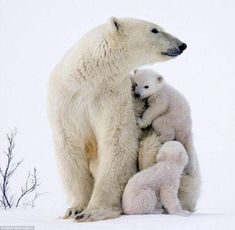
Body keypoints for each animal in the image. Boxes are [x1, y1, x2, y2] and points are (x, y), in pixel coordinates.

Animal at [47, 17, 195, 222]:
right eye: (154, 30)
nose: (182, 45)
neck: (90, 77)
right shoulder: (67, 100)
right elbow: (70, 146)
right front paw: (75, 209)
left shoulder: (112, 95)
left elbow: (117, 141)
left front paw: (93, 211)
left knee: (150, 147)